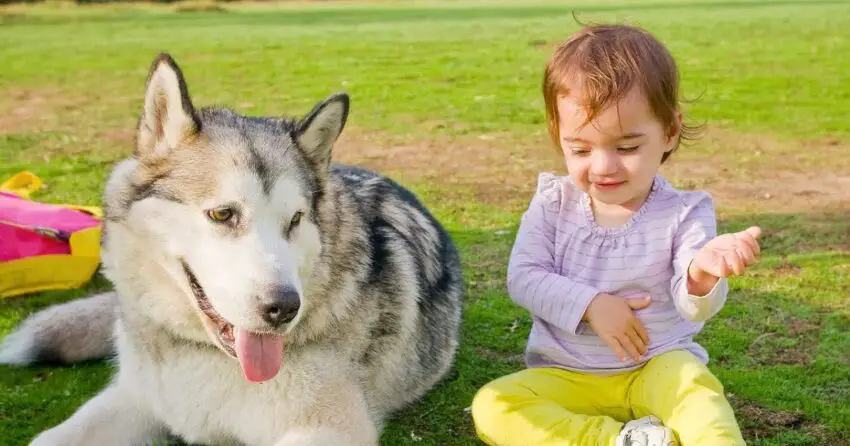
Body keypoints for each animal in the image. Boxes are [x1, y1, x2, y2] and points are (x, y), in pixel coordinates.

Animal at [0, 53, 464, 446]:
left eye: (295, 220)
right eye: (223, 214)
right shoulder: (135, 399)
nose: (283, 309)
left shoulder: (329, 428)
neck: (206, 355)